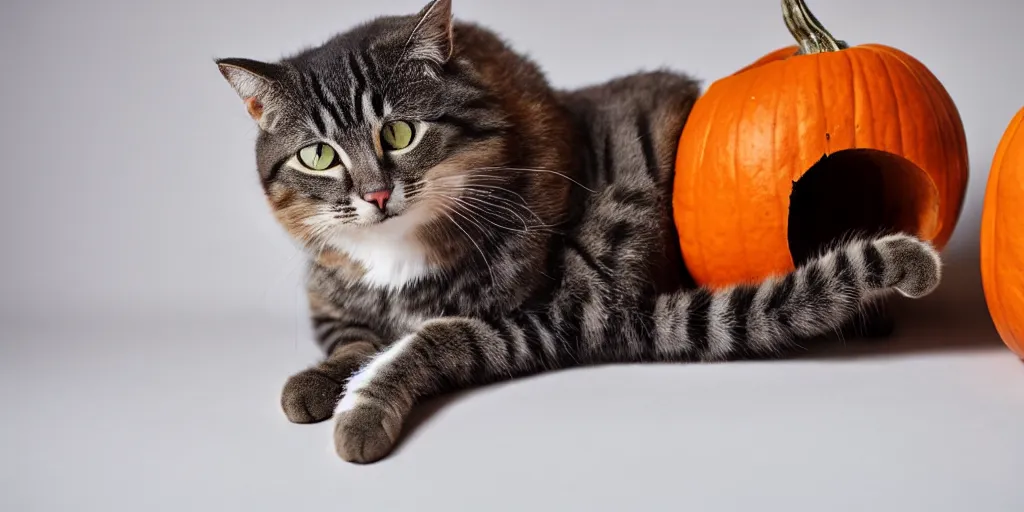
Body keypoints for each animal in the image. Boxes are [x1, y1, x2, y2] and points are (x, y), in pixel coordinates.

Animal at [216, 0, 942, 464]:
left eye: (399, 132)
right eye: (318, 155)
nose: (374, 193)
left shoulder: (540, 316)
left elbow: (424, 342)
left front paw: (359, 410)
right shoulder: (328, 293)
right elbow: (349, 337)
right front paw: (318, 380)